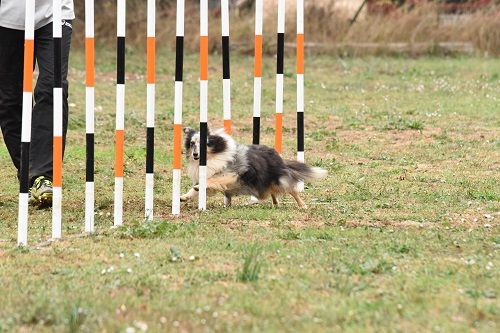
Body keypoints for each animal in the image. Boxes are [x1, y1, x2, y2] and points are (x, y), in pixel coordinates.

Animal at [180, 127, 328, 208]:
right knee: (273, 192)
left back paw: (302, 205)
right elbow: (197, 188)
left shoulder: (231, 173)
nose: (195, 154)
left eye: (204, 143)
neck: (213, 157)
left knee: (293, 190)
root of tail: (278, 157)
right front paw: (184, 197)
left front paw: (198, 187)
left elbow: (212, 180)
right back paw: (275, 204)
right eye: (192, 143)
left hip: (278, 180)